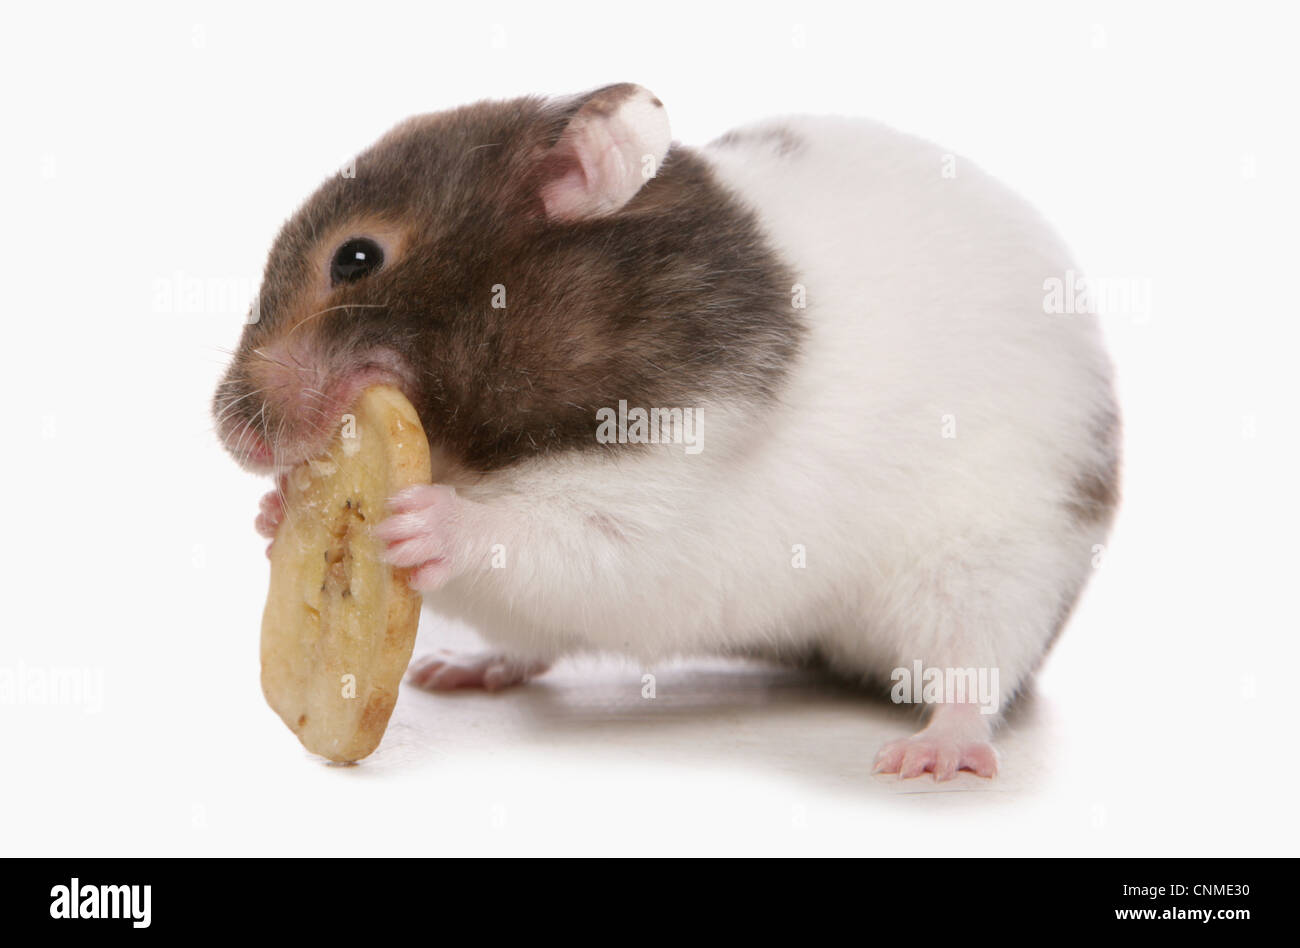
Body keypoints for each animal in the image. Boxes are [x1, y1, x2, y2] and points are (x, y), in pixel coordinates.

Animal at [213, 83, 1120, 779]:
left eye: (356, 258)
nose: (232, 437)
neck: (485, 452)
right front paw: (273, 516)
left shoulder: (667, 501)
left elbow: (565, 534)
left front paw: (421, 520)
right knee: (527, 645)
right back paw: (460, 668)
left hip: (994, 567)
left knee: (975, 674)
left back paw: (931, 757)